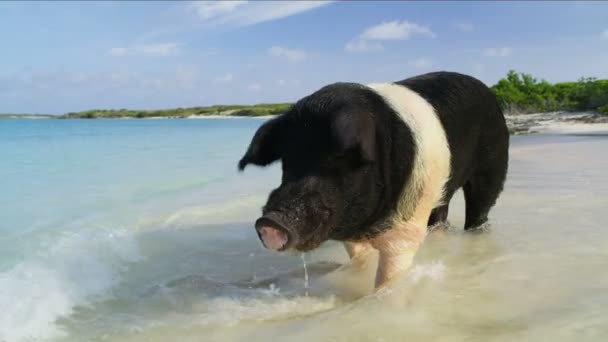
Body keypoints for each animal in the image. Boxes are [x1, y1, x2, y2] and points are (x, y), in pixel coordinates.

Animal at [236, 71, 508, 290]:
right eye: (287, 162)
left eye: (339, 159)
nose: (270, 222)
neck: (368, 226)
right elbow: (360, 260)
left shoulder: (405, 228)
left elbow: (390, 275)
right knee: (441, 213)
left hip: (492, 165)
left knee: (480, 208)